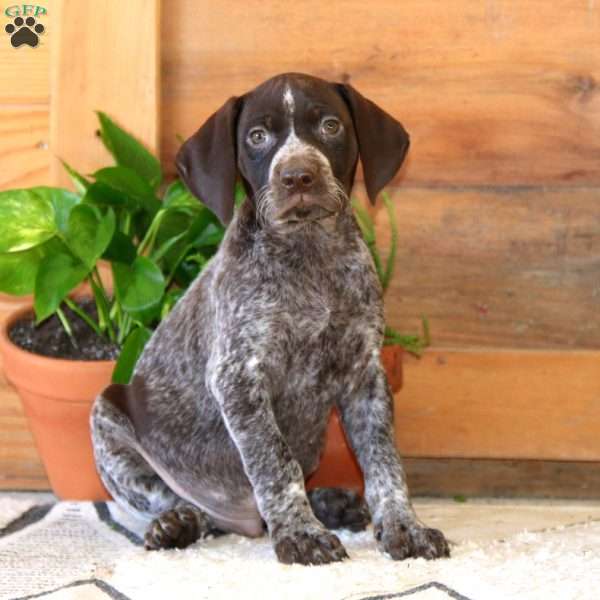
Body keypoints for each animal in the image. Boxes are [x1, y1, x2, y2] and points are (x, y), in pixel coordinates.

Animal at [90, 72, 450, 564]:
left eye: (331, 126)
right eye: (257, 137)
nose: (298, 175)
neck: (309, 253)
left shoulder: (365, 375)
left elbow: (385, 464)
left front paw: (404, 527)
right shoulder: (239, 376)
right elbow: (275, 463)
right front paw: (301, 534)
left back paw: (330, 503)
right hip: (107, 414)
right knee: (175, 502)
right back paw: (178, 522)